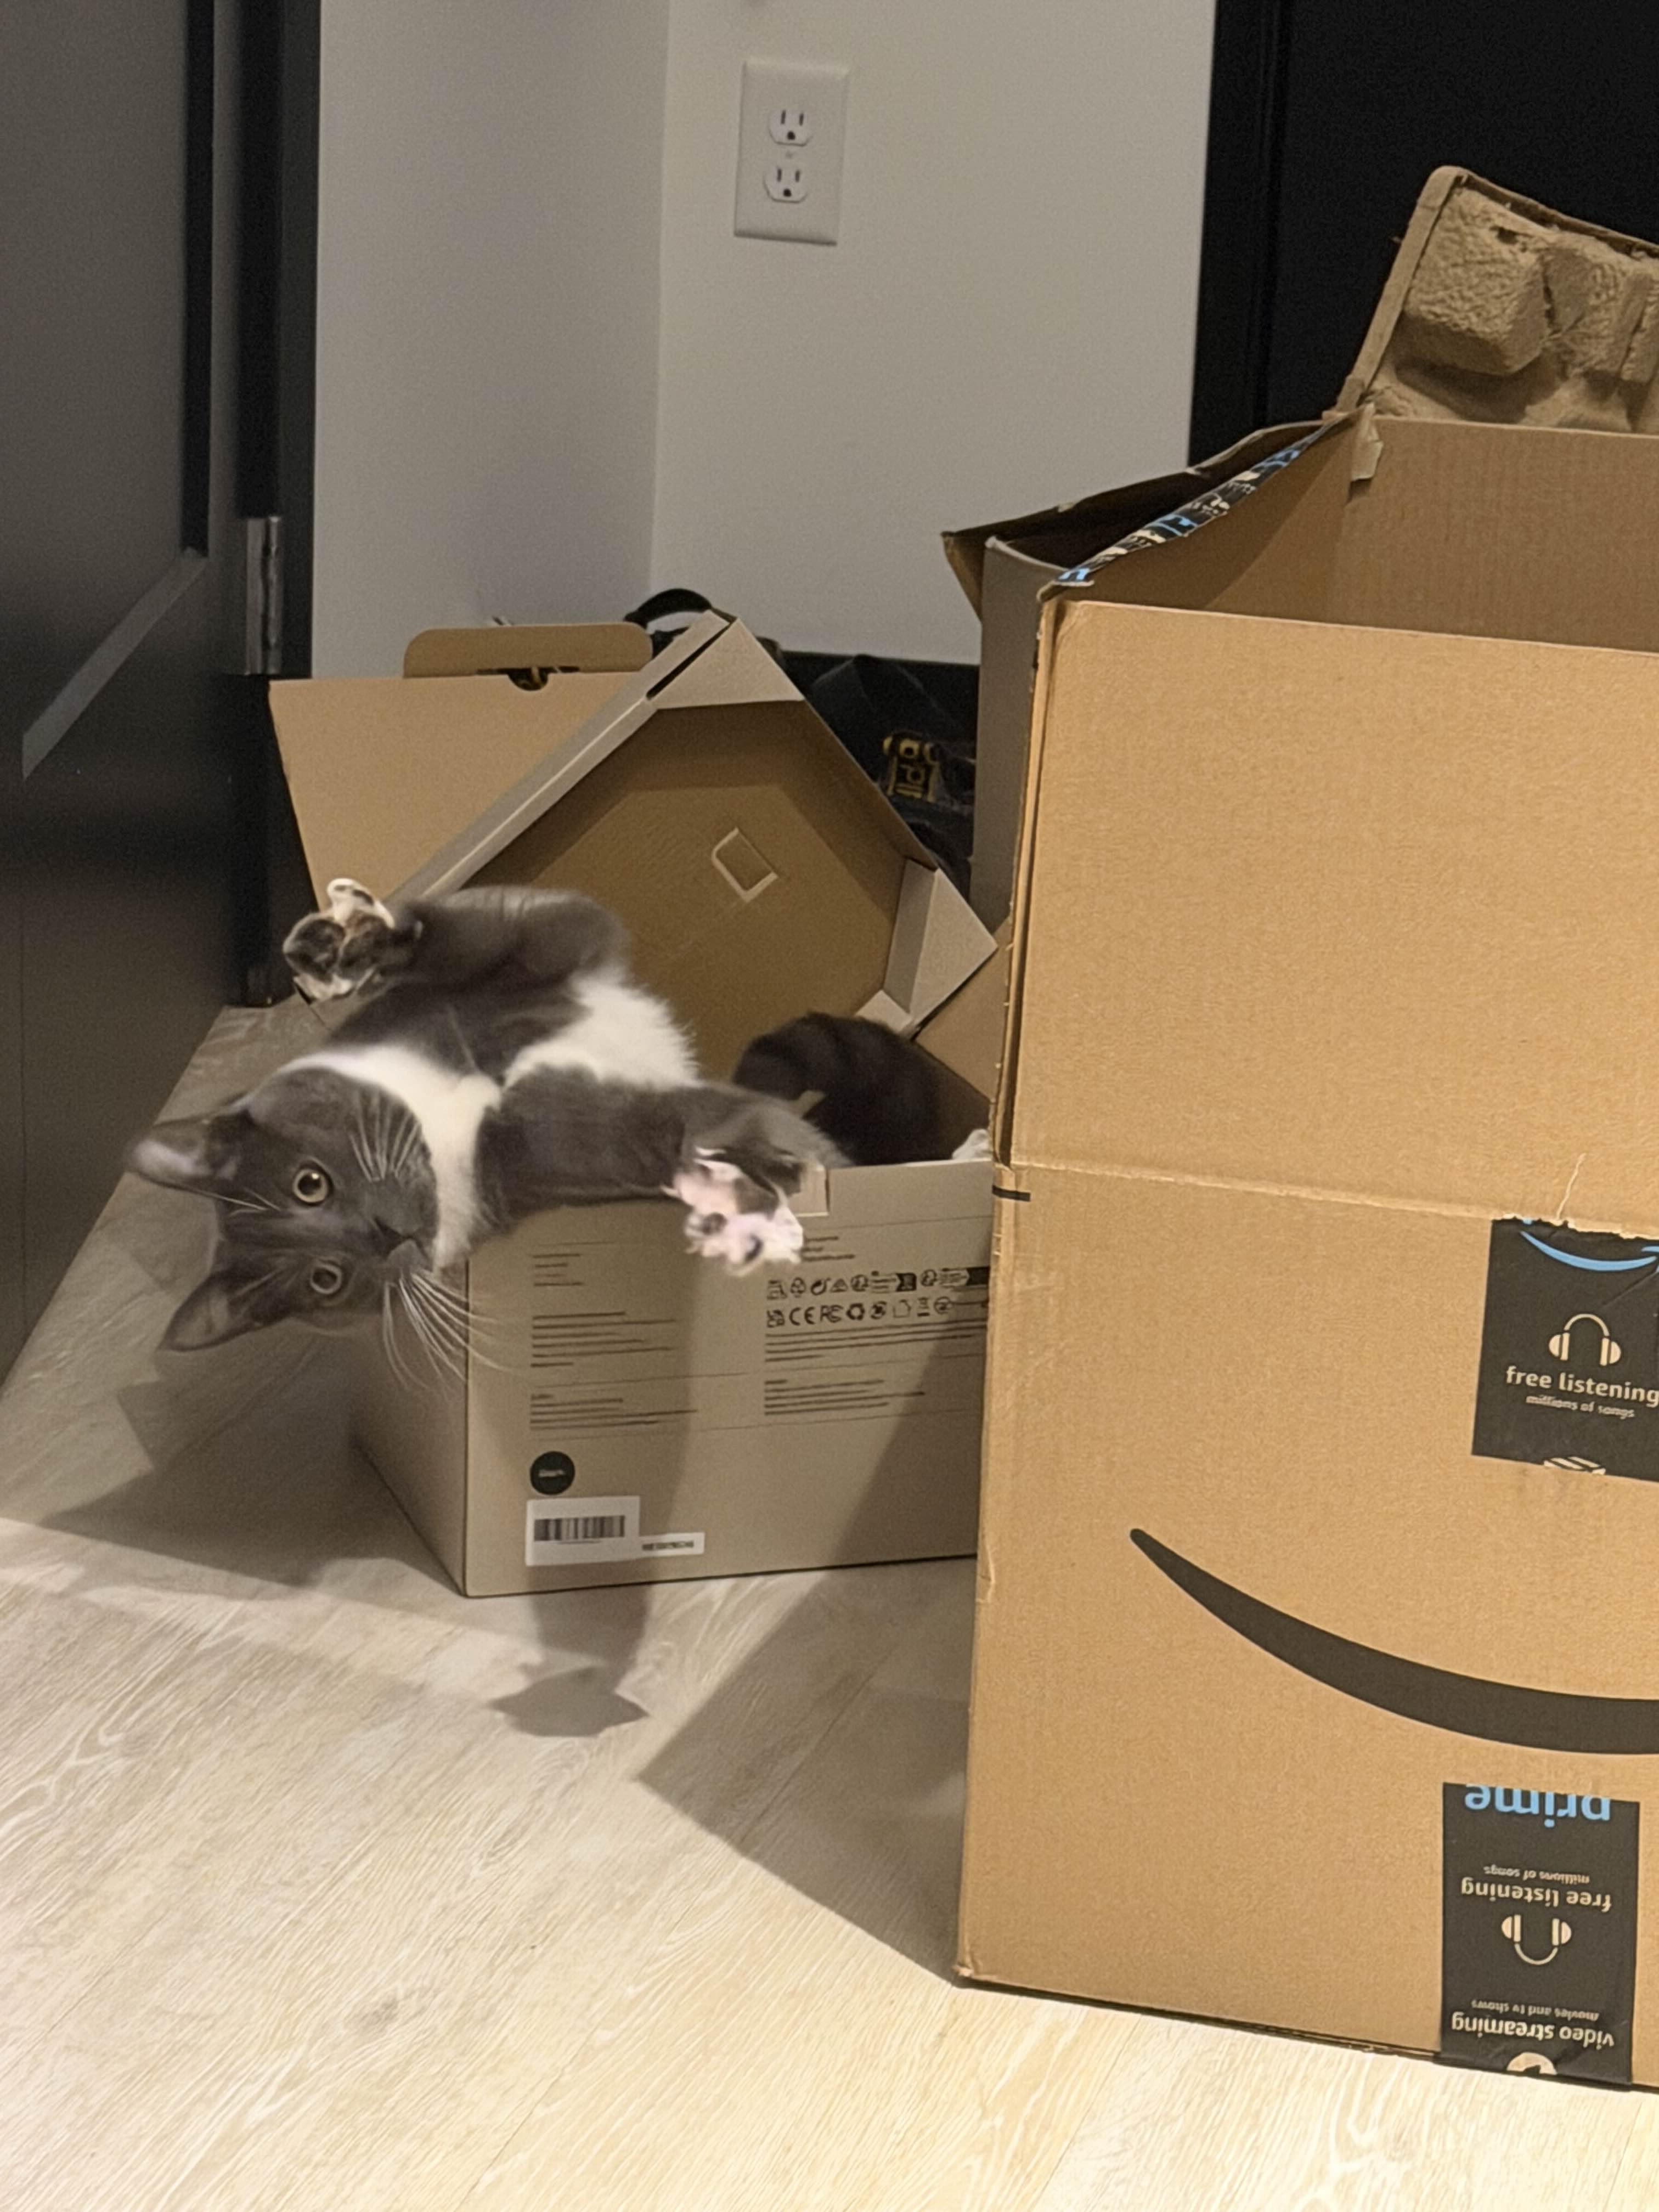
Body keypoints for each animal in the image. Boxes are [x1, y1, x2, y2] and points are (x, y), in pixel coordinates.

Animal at [128, 878, 847, 1351]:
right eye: (326, 1279)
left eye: (310, 1183)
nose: (381, 1236)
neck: (451, 1115)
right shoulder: (542, 1172)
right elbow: (617, 1134)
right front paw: (753, 1166)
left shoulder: (546, 949)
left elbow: (484, 929)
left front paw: (347, 945)